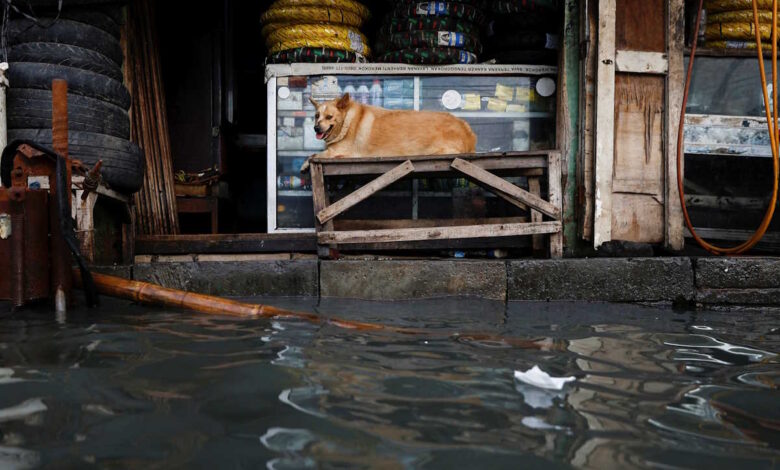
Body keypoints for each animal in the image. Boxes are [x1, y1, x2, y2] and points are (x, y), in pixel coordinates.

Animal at [298, 92, 476, 173]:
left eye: (329, 117)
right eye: (316, 116)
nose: (316, 128)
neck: (346, 122)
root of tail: (466, 128)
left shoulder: (339, 151)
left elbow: (314, 155)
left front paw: (305, 163)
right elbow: (315, 154)